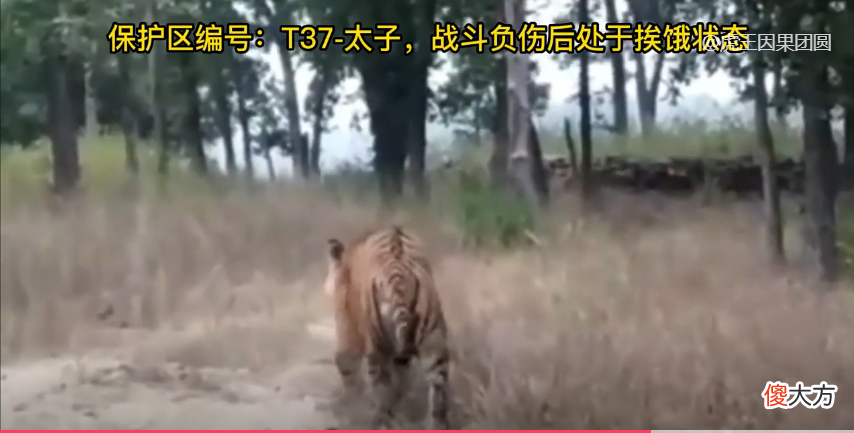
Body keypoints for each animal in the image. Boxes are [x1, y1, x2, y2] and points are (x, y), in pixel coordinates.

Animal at [323, 225, 451, 429]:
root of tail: (399, 277)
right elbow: (402, 380)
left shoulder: (347, 329)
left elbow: (346, 367)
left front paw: (349, 406)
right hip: (434, 342)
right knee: (438, 391)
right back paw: (435, 425)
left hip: (377, 350)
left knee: (382, 388)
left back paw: (379, 420)